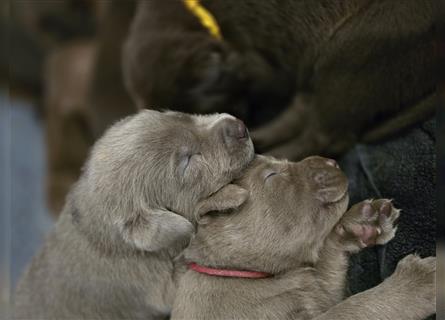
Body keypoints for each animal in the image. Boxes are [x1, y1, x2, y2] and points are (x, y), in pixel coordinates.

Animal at [172, 156, 436, 320]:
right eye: (272, 175)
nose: (331, 161)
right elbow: (356, 306)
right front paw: (417, 281)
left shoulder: (319, 292)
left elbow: (327, 258)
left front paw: (364, 222)